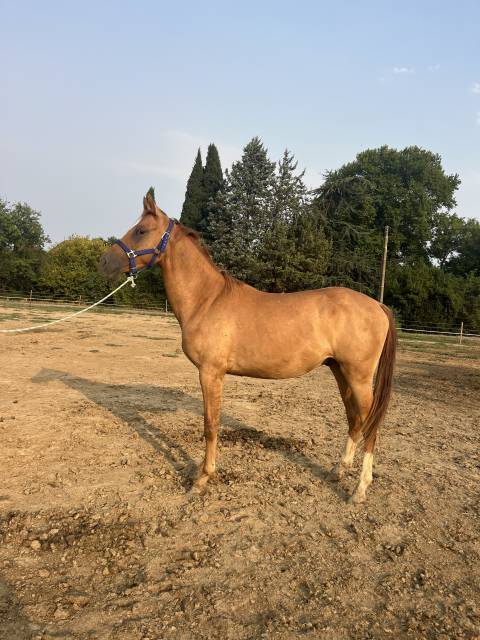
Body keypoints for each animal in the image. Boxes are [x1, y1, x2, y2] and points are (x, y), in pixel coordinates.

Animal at [99, 190, 396, 503]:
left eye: (141, 231)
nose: (103, 262)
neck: (207, 300)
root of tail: (377, 305)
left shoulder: (210, 373)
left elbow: (210, 425)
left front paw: (202, 478)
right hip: (340, 372)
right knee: (354, 420)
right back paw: (338, 471)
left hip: (359, 377)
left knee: (370, 426)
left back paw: (360, 489)